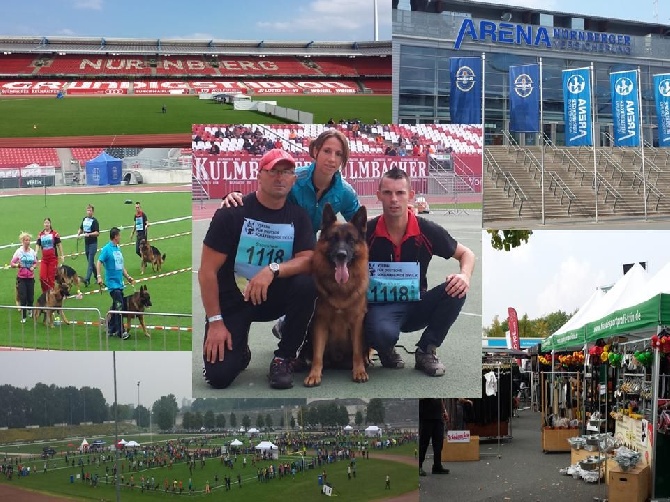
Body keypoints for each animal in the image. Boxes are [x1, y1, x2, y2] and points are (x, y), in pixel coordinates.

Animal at [306, 204, 372, 388]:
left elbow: (357, 352)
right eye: (333, 239)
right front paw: (314, 374)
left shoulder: (357, 324)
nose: (341, 255)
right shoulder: (320, 323)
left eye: (351, 240)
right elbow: (317, 355)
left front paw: (359, 371)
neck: (340, 289)